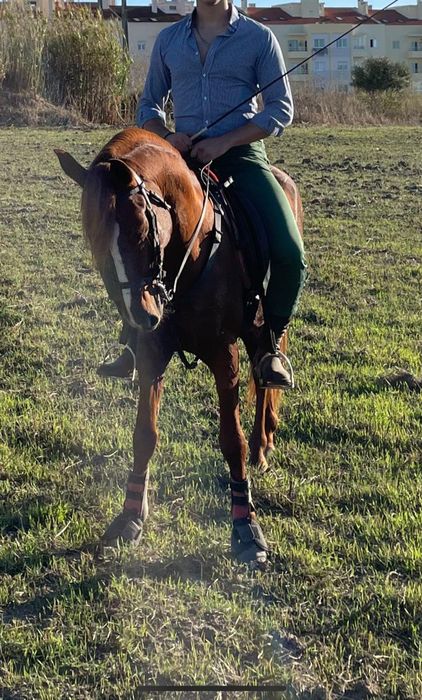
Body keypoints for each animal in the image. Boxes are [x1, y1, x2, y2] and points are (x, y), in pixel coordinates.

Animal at [55, 127, 303, 568]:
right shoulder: (153, 352)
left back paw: (262, 445)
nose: (142, 315)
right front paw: (130, 517)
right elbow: (144, 435)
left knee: (265, 374)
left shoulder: (224, 355)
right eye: (95, 243)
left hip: (263, 324)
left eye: (141, 230)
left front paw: (246, 529)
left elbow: (231, 440)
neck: (194, 250)